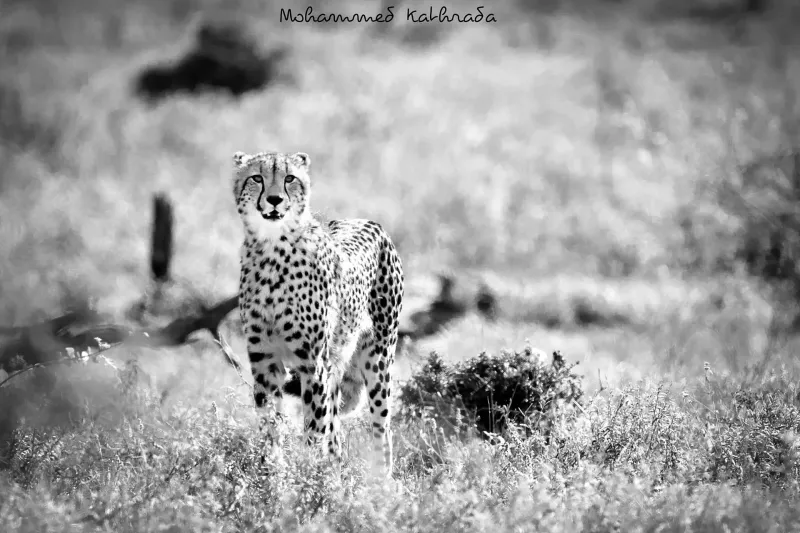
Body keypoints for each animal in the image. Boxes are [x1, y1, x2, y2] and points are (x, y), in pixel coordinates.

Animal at [232, 150, 404, 474]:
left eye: (290, 178)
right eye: (256, 177)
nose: (274, 199)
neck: (271, 248)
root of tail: (369, 221)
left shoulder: (312, 363)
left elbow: (314, 427)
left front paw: (307, 473)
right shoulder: (264, 360)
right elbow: (270, 424)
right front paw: (273, 474)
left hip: (378, 357)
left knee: (381, 425)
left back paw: (381, 479)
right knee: (336, 431)